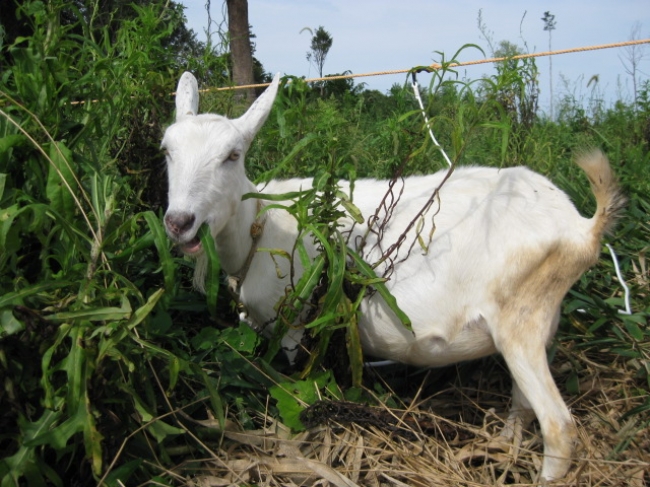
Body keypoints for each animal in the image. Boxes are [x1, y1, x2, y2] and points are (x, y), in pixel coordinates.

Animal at [162, 71, 624, 480]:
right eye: (167, 150)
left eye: (232, 155)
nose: (179, 221)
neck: (260, 226)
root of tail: (582, 227)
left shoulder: (295, 325)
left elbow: (296, 385)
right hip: (535, 322)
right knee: (522, 403)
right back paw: (501, 449)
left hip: (520, 320)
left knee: (558, 425)